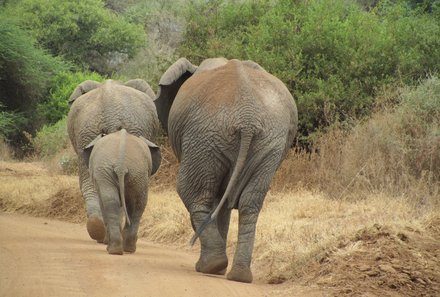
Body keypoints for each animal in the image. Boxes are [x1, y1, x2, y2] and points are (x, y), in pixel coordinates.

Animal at [155, 56, 300, 280]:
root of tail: (248, 119)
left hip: (204, 136)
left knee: (193, 194)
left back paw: (211, 266)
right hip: (268, 143)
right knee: (250, 202)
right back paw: (237, 275)